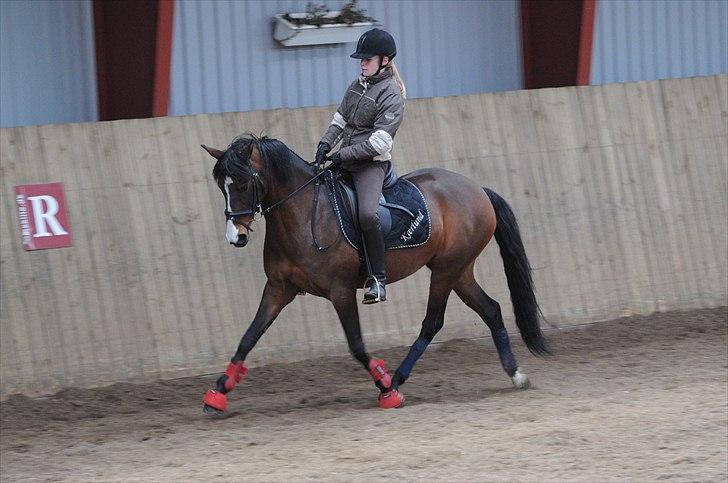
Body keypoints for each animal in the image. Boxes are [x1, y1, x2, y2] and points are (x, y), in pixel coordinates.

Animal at [200, 133, 549, 414]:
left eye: (243, 183)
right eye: (222, 187)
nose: (236, 237)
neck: (303, 213)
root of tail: (477, 189)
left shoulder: (340, 291)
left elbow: (356, 344)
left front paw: (385, 388)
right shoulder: (278, 288)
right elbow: (248, 338)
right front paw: (217, 393)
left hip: (446, 271)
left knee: (433, 322)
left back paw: (396, 380)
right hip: (459, 271)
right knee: (491, 310)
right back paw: (516, 374)